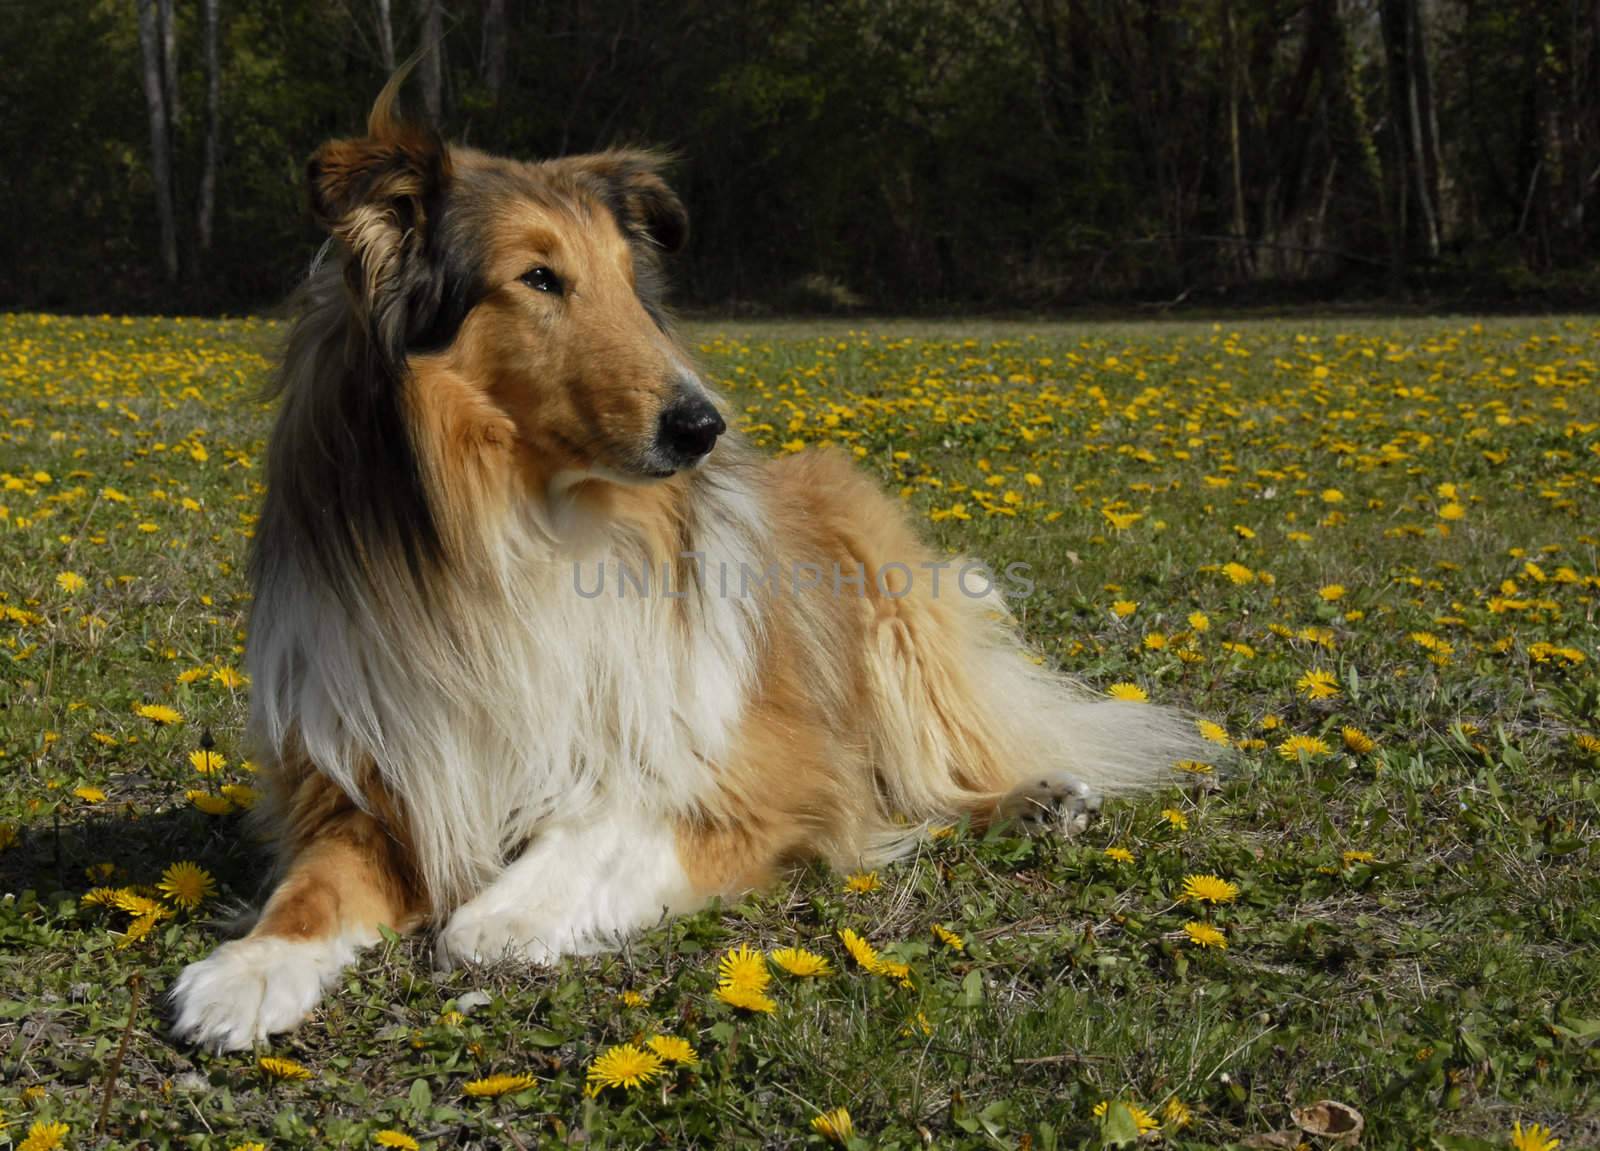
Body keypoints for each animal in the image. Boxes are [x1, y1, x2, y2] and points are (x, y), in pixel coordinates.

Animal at [172, 83, 1203, 1056]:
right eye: (538, 277)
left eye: (633, 286)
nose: (704, 427)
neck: (517, 532)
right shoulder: (373, 782)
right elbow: (311, 887)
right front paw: (250, 968)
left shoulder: (751, 766)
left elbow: (582, 840)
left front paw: (501, 913)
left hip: (889, 628)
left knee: (934, 779)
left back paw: (1037, 800)